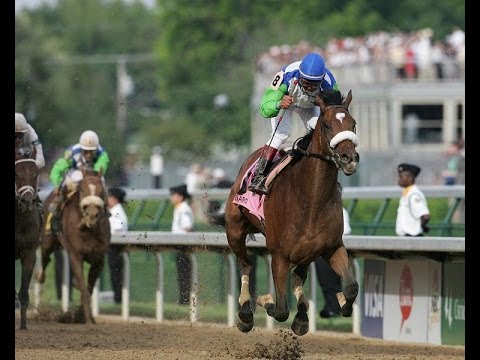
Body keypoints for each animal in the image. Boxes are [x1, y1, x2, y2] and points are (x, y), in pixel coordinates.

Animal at [36, 169, 110, 324]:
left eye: (102, 190)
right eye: (82, 189)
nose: (92, 215)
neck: (87, 230)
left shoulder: (99, 258)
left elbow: (89, 288)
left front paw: (82, 315)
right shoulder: (76, 255)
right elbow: (83, 287)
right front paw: (87, 319)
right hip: (48, 240)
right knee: (45, 258)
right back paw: (40, 276)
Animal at [225, 88, 360, 336]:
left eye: (353, 124)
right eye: (326, 125)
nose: (349, 159)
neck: (311, 201)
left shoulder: (333, 246)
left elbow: (351, 287)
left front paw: (340, 302)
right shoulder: (278, 254)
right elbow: (280, 309)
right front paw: (265, 300)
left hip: (307, 252)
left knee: (299, 276)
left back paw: (302, 316)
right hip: (234, 229)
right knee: (245, 264)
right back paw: (246, 313)